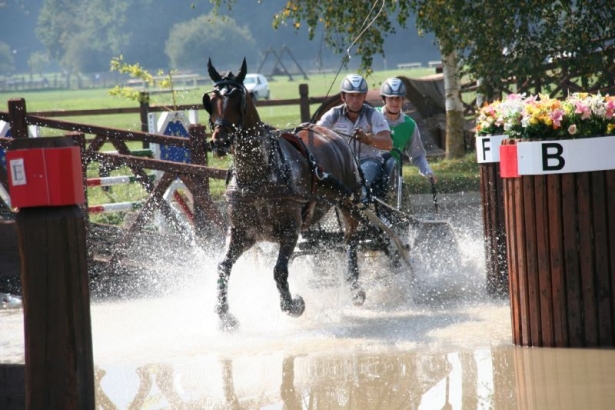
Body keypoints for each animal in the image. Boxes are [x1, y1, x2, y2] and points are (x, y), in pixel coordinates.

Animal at [203, 57, 366, 328]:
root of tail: (333, 134)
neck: (257, 178)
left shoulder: (290, 231)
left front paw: (293, 305)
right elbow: (223, 266)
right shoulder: (242, 233)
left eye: (239, 99)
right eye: (211, 101)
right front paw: (225, 315)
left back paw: (355, 288)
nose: (220, 142)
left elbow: (279, 270)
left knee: (351, 241)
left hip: (349, 204)